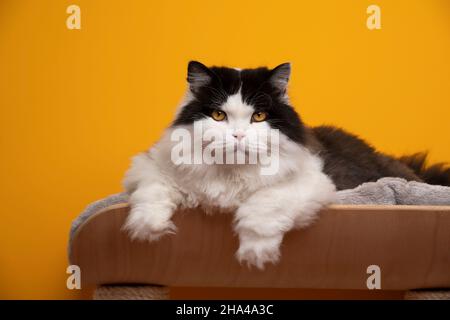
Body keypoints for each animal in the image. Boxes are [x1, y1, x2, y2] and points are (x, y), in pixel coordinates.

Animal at [121, 61, 448, 268]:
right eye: (218, 115)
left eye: (259, 117)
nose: (238, 135)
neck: (231, 175)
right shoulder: (150, 167)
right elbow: (152, 194)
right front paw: (147, 230)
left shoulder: (309, 184)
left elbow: (261, 209)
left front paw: (255, 254)